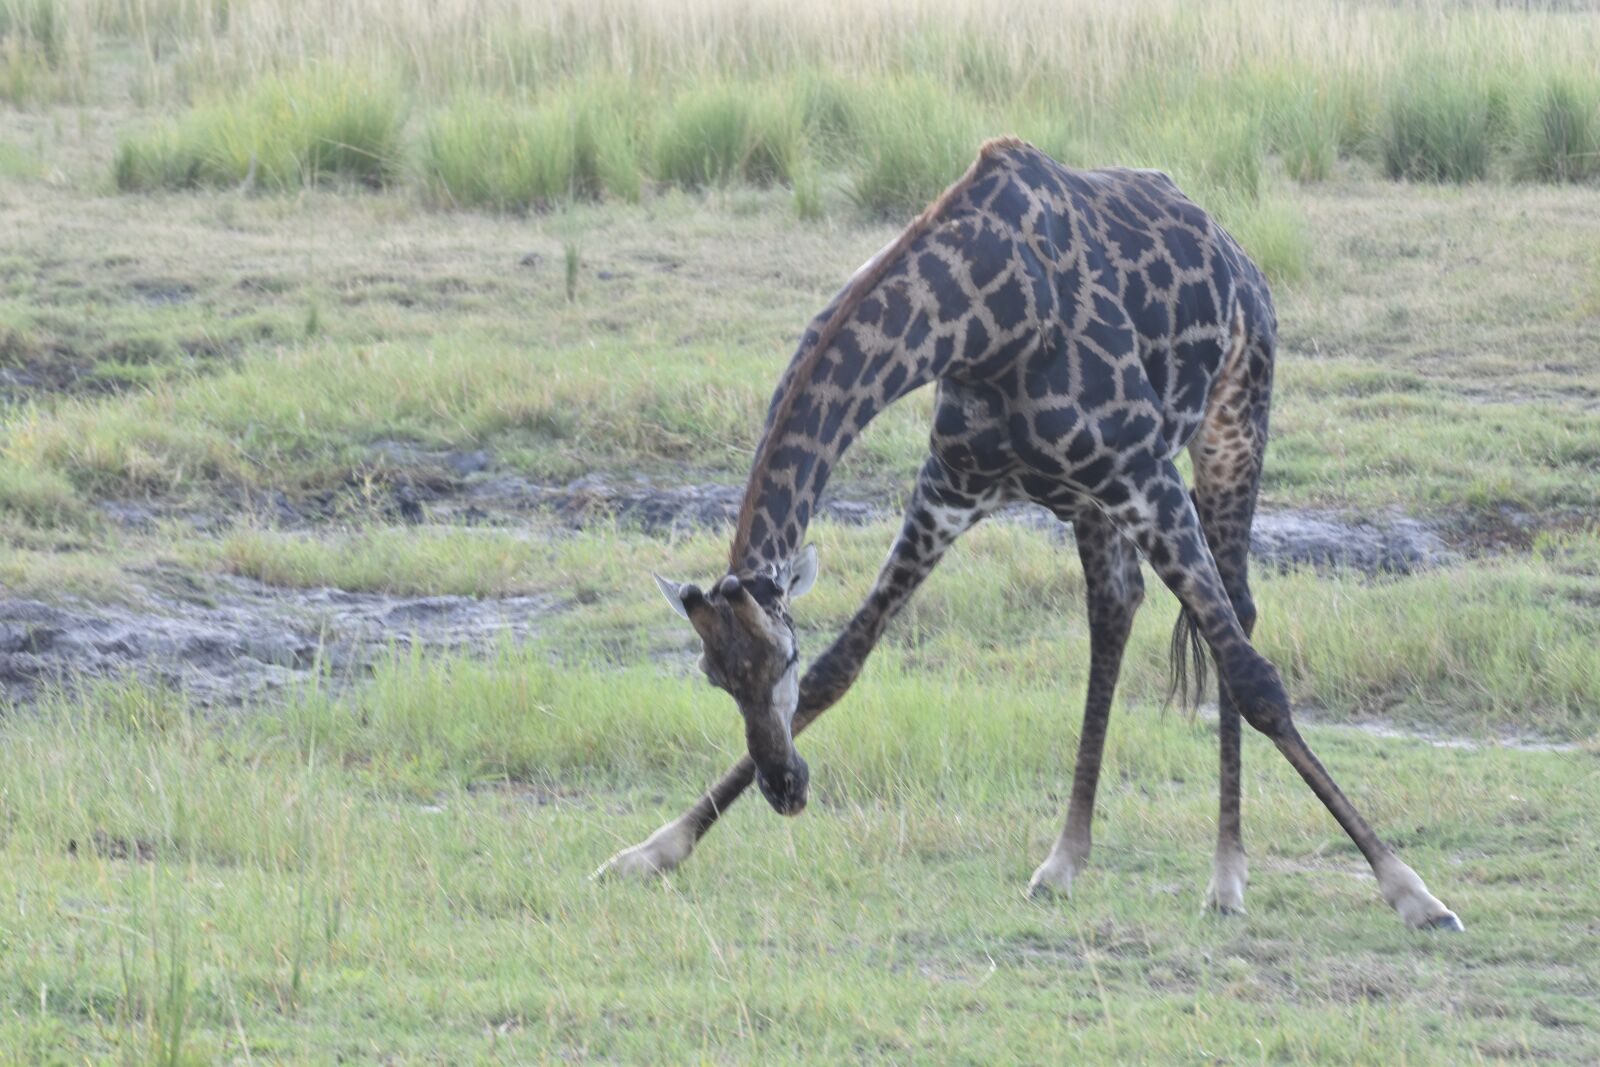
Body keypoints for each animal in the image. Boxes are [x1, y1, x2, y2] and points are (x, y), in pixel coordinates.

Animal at [598, 138, 1462, 931]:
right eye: (716, 677)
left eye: (781, 656)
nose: (787, 788)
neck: (986, 321)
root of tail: (1237, 255)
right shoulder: (949, 490)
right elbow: (845, 666)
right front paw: (652, 849)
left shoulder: (1143, 469)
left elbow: (1256, 678)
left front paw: (1410, 887)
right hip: (1091, 500)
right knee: (1117, 611)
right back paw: (1064, 859)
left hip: (1231, 428)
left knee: (1235, 617)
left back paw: (1226, 876)